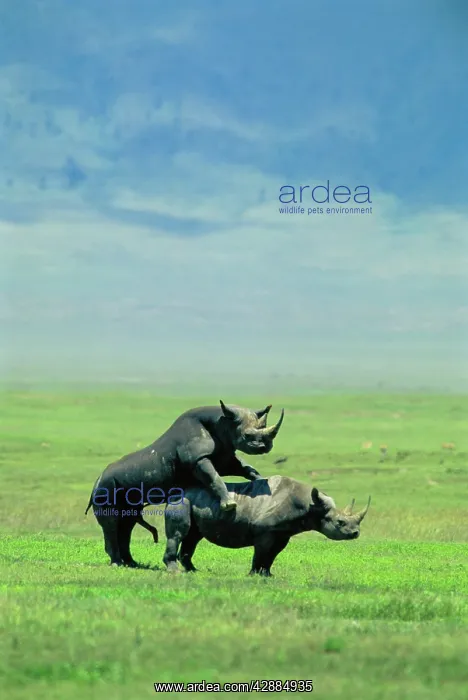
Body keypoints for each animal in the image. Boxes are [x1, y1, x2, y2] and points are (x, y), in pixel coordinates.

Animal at [85, 401, 284, 567]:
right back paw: (117, 563)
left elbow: (246, 468)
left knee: (127, 522)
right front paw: (229, 504)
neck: (222, 422)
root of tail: (97, 481)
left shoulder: (226, 457)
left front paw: (263, 483)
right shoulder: (197, 459)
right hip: (105, 487)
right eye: (247, 435)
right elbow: (214, 478)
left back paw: (131, 564)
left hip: (119, 490)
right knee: (112, 522)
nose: (263, 448)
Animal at [162, 475, 371, 576]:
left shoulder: (282, 533)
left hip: (195, 500)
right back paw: (175, 571)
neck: (310, 506)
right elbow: (261, 553)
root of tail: (176, 490)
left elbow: (272, 555)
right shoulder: (264, 530)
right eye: (340, 523)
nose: (355, 533)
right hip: (181, 499)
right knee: (179, 534)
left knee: (193, 536)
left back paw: (193, 571)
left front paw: (268, 575)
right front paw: (253, 575)